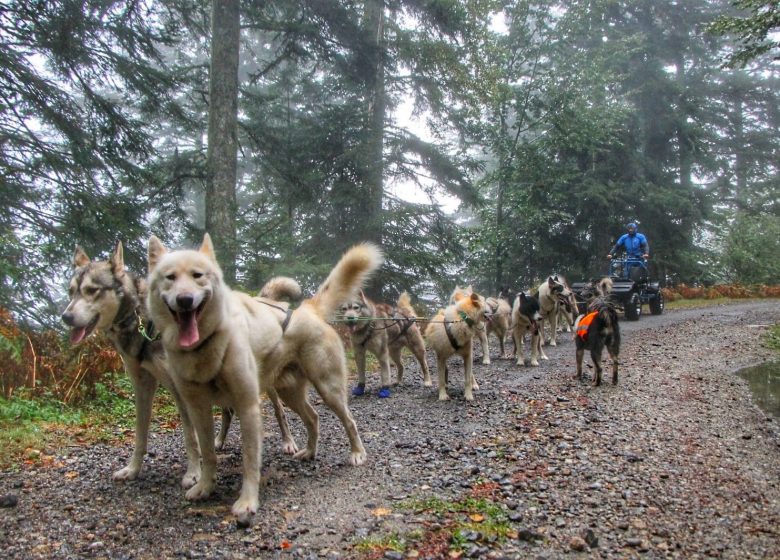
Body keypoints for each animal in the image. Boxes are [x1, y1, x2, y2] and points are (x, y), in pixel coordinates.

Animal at [145, 233, 382, 524]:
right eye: (170, 277)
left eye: (197, 275)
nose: (185, 299)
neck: (207, 344)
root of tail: (308, 309)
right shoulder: (198, 409)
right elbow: (209, 454)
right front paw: (205, 487)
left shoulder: (247, 407)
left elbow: (249, 460)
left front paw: (247, 502)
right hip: (289, 394)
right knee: (313, 417)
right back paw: (310, 451)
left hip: (329, 389)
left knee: (349, 421)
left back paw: (357, 453)